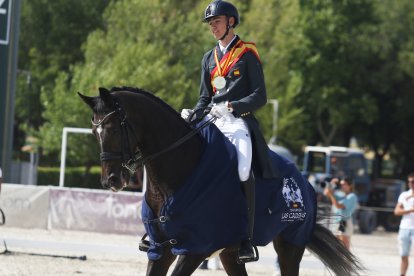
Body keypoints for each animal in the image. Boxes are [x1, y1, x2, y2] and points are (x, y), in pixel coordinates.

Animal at [78, 87, 362, 276]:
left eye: (113, 129)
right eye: (94, 131)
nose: (111, 180)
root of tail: (305, 182)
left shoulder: (194, 250)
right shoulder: (159, 249)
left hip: (290, 246)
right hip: (231, 254)